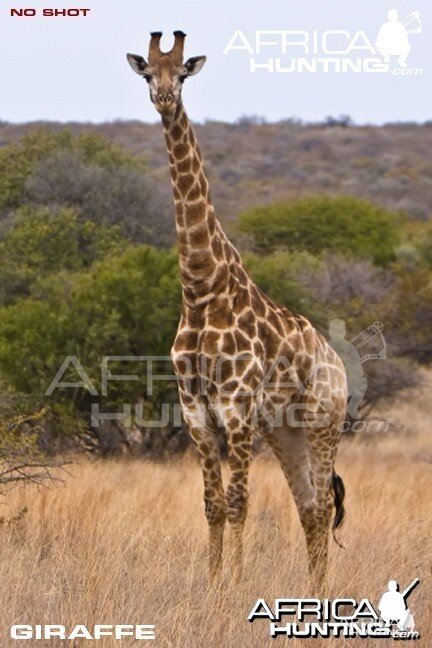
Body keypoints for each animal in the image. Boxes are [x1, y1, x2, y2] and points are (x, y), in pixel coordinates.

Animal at [125, 30, 348, 592]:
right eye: (147, 73)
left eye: (182, 72)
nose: (164, 98)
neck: (201, 289)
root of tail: (338, 363)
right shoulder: (196, 412)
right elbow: (211, 504)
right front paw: (212, 586)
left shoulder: (237, 408)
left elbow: (239, 502)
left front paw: (236, 587)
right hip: (285, 430)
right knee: (309, 508)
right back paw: (312, 592)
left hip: (323, 422)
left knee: (322, 505)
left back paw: (319, 594)